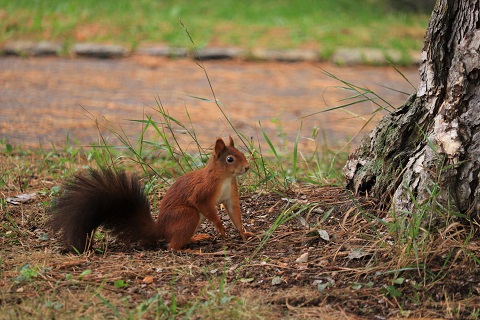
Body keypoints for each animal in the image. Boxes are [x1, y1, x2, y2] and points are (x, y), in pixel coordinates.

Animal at [49, 137, 255, 252]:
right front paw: (220, 227)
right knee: (171, 247)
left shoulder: (230, 195)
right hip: (187, 215)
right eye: (230, 159)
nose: (247, 167)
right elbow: (203, 204)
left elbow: (235, 214)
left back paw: (195, 238)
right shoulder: (203, 191)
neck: (225, 178)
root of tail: (161, 229)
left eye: (241, 153)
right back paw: (188, 251)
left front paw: (244, 233)